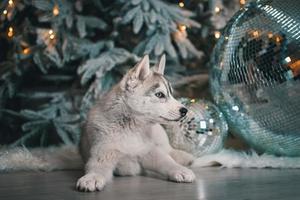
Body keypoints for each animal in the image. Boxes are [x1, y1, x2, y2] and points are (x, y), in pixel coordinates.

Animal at [76, 54, 196, 191]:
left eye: (171, 94)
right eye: (160, 94)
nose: (185, 111)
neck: (130, 129)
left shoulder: (148, 151)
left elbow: (166, 160)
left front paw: (180, 170)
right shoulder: (103, 153)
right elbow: (97, 167)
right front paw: (92, 177)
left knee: (169, 150)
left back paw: (185, 157)